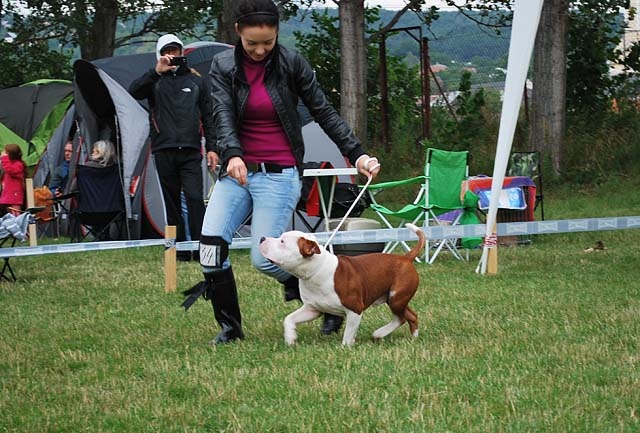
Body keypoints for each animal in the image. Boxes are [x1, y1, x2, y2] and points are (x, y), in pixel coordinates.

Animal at [260, 223, 424, 344]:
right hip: (394, 298)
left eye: (282, 242)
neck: (317, 269)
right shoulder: (312, 309)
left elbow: (348, 334)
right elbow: (289, 319)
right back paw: (403, 337)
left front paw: (345, 348)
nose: (261, 238)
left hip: (396, 298)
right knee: (409, 316)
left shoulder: (355, 310)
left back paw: (383, 333)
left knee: (402, 317)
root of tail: (406, 258)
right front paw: (290, 338)